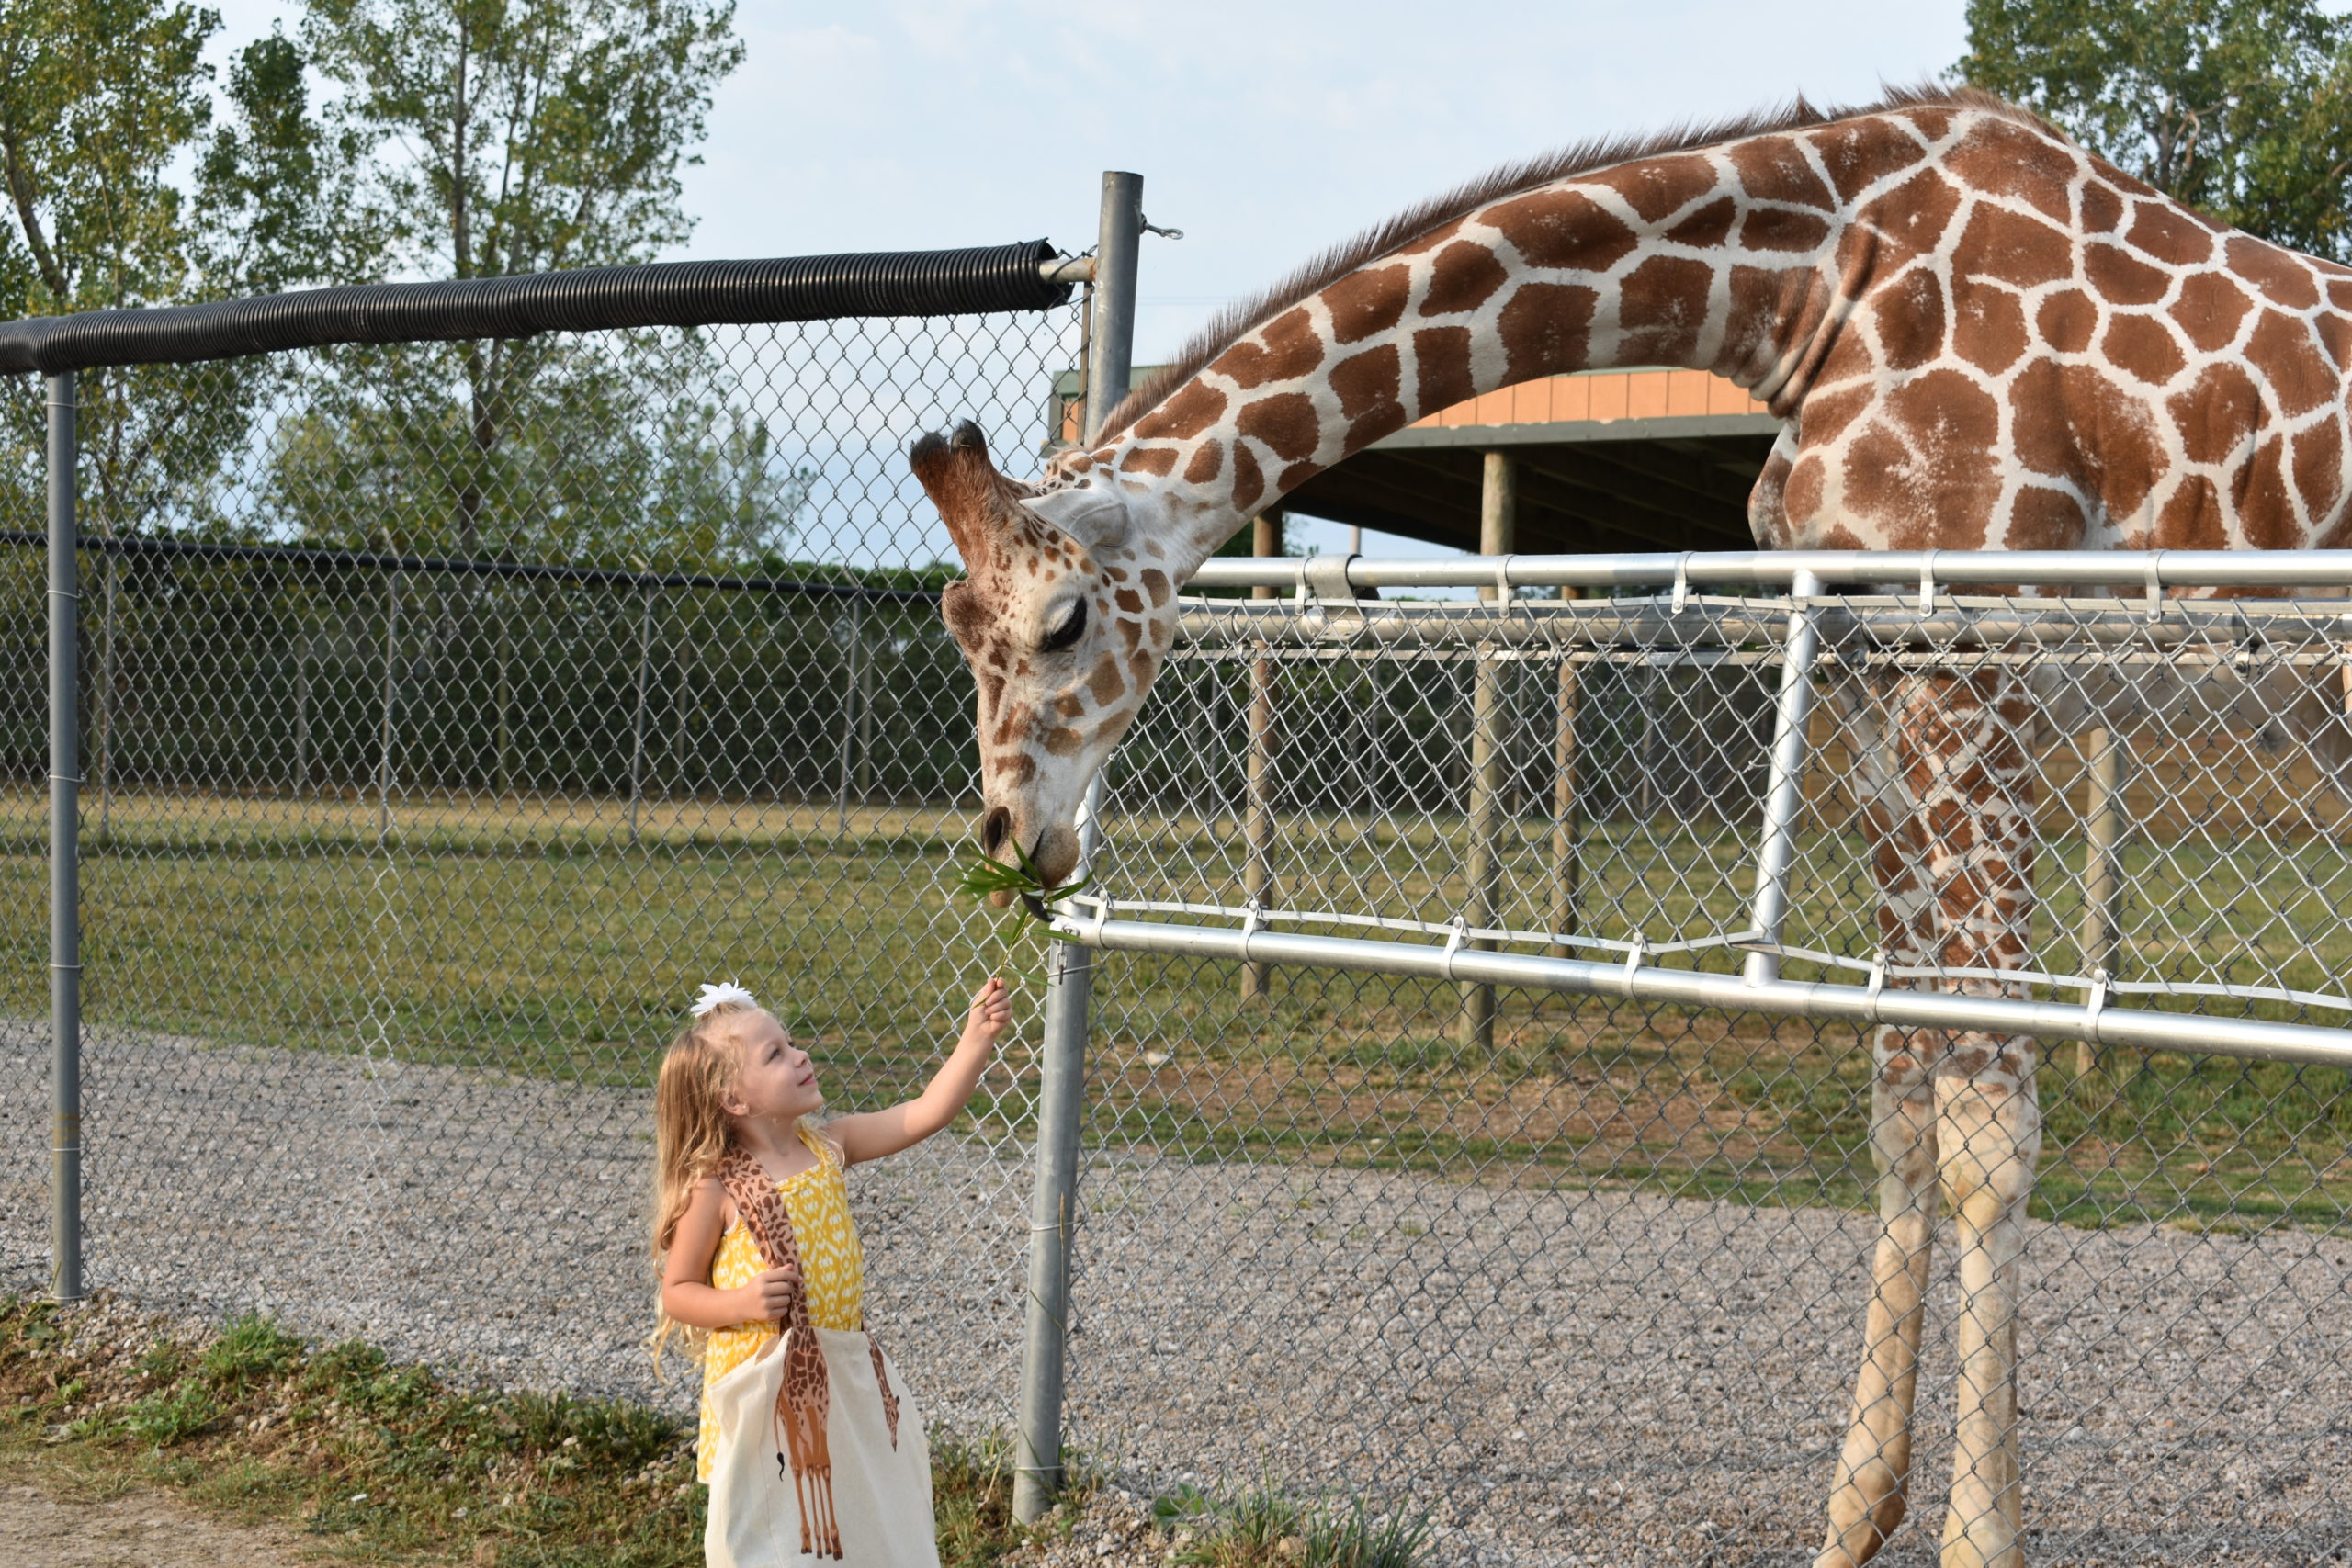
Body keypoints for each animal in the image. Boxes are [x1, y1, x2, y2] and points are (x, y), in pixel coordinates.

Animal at [903, 88, 2352, 1568]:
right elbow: (1904, 1104)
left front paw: (1977, 1540)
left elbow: (1990, 1132)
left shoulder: (1974, 667)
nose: (1012, 835)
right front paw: (1853, 1516)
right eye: (954, 623)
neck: (1810, 284)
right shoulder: (1872, 676)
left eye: (1061, 621)